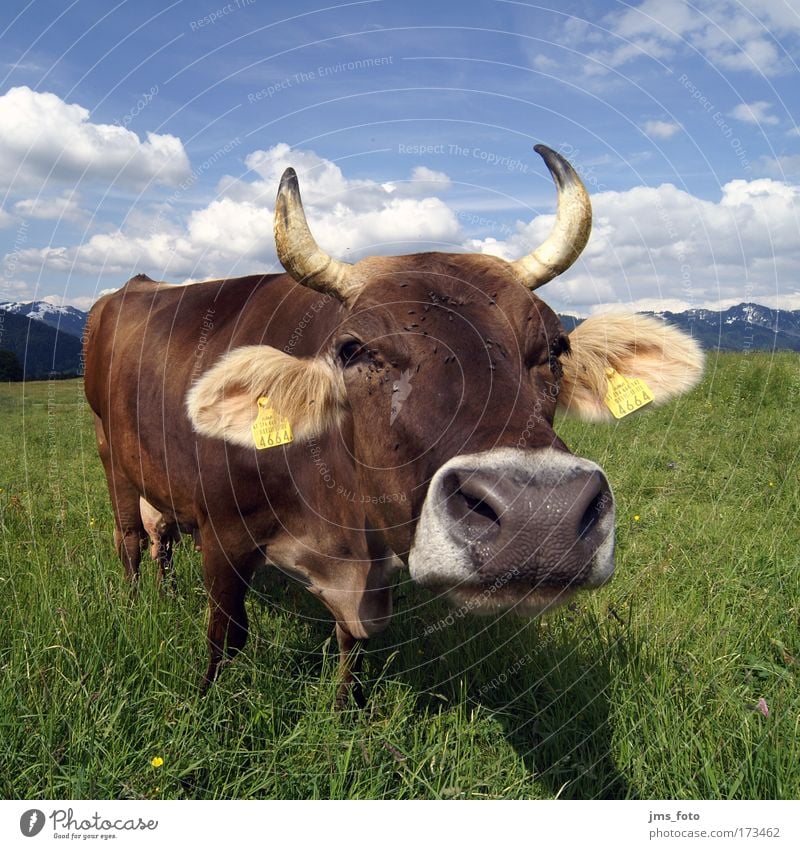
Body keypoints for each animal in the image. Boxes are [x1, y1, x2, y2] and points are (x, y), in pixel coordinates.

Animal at [84, 144, 704, 704]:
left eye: (556, 346)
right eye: (354, 350)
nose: (538, 515)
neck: (338, 526)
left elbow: (350, 642)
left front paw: (345, 712)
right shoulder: (223, 534)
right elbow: (226, 636)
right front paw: (207, 706)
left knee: (160, 535)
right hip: (109, 451)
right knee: (131, 538)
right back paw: (136, 604)